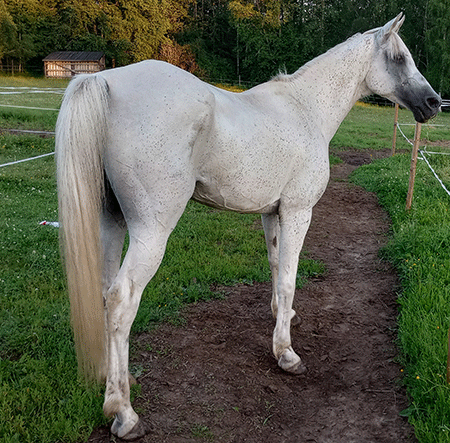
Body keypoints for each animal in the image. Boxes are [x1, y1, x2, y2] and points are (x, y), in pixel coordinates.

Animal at [56, 13, 440, 440]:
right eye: (399, 57)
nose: (433, 103)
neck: (305, 110)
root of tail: (105, 81)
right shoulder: (299, 211)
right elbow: (289, 277)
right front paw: (286, 354)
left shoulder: (271, 213)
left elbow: (274, 268)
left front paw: (282, 317)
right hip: (151, 232)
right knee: (123, 301)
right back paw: (124, 413)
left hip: (112, 222)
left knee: (106, 294)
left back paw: (117, 380)